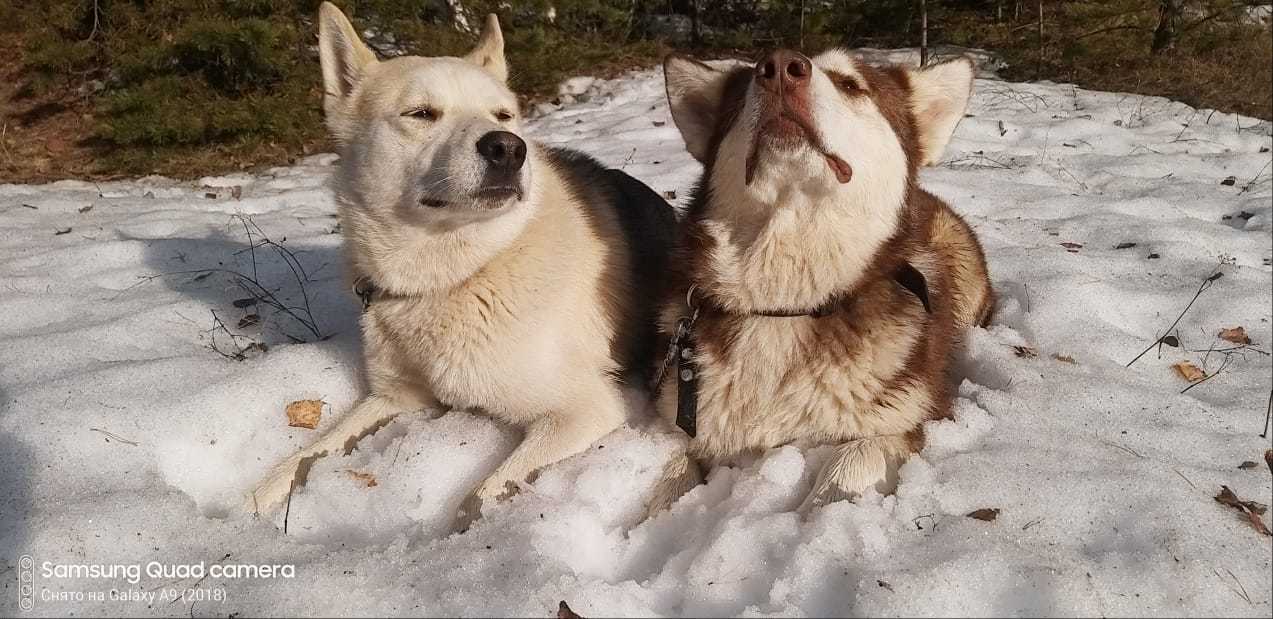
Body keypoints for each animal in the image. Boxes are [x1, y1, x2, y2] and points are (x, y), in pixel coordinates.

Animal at [646, 49, 992, 517]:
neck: (785, 305)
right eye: (744, 88)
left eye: (850, 84)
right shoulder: (686, 416)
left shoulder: (910, 418)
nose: (779, 68)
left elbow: (854, 460)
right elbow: (671, 474)